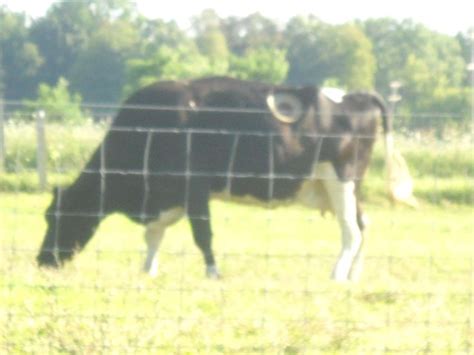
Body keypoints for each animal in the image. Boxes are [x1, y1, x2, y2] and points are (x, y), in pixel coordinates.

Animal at [37, 76, 414, 282]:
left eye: (57, 217)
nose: (42, 261)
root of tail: (355, 95)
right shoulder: (167, 196)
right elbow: (154, 234)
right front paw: (148, 269)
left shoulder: (194, 187)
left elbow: (202, 235)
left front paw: (213, 273)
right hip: (336, 186)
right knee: (364, 223)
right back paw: (353, 275)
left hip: (341, 178)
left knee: (351, 230)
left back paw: (336, 275)